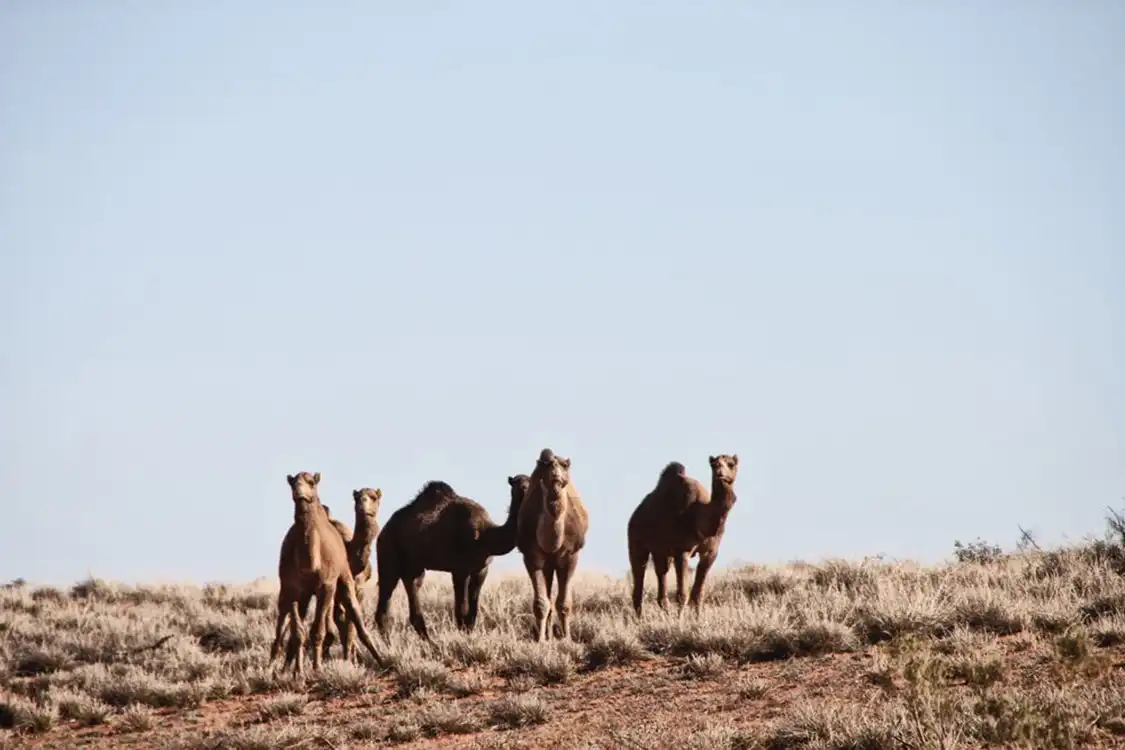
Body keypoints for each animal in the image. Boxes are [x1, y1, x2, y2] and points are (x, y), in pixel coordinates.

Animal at [268, 470, 387, 674]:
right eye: (293, 483)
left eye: (373, 497)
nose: (363, 505)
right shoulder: (294, 588)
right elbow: (301, 630)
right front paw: (302, 670)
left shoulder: (334, 586)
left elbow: (328, 629)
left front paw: (319, 667)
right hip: (299, 593)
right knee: (286, 625)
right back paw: (281, 668)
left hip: (339, 587)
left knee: (350, 622)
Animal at [369, 474, 526, 638]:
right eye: (518, 484)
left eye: (529, 480)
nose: (526, 488)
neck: (485, 535)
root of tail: (384, 530)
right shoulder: (460, 569)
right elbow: (461, 610)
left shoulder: (482, 569)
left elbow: (472, 612)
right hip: (388, 555)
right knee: (386, 595)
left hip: (414, 567)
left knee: (412, 589)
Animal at [515, 449, 589, 643]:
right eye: (546, 465)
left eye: (564, 465)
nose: (556, 475)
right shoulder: (532, 556)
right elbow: (541, 603)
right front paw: (540, 640)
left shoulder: (571, 555)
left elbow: (564, 602)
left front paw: (567, 639)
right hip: (547, 564)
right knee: (547, 595)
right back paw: (547, 635)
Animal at [625, 454, 738, 620]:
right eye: (714, 464)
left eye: (731, 464)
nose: (720, 474)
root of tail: (635, 513)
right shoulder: (682, 551)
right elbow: (682, 594)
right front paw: (680, 620)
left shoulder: (710, 553)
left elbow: (698, 594)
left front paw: (698, 619)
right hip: (636, 542)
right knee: (638, 579)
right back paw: (640, 620)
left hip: (661, 551)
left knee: (661, 574)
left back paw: (665, 614)